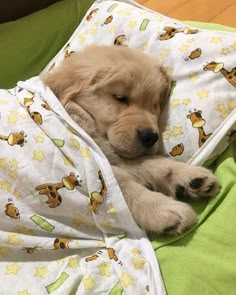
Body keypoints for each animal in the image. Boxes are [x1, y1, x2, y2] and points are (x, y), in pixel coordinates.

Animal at [43, 45, 220, 236]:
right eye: (120, 98)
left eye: (155, 104)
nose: (151, 137)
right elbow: (119, 186)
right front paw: (162, 210)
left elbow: (149, 162)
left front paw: (189, 176)